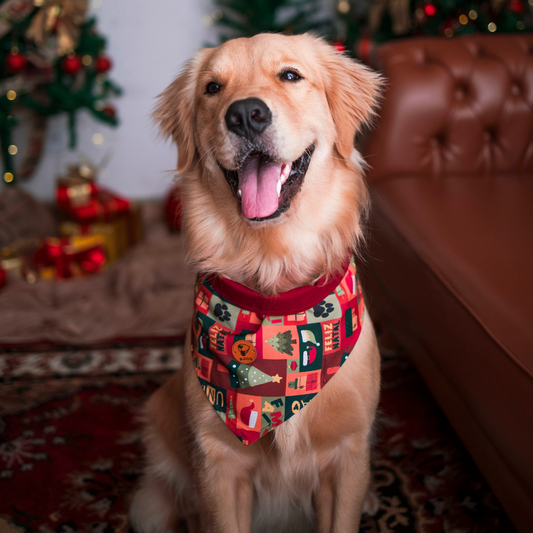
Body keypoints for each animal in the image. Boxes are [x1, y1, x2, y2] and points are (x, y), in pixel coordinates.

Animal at [130, 31, 380, 528]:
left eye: (290, 75)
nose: (245, 113)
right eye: (212, 88)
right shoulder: (218, 467)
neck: (274, 285)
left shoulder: (348, 459)